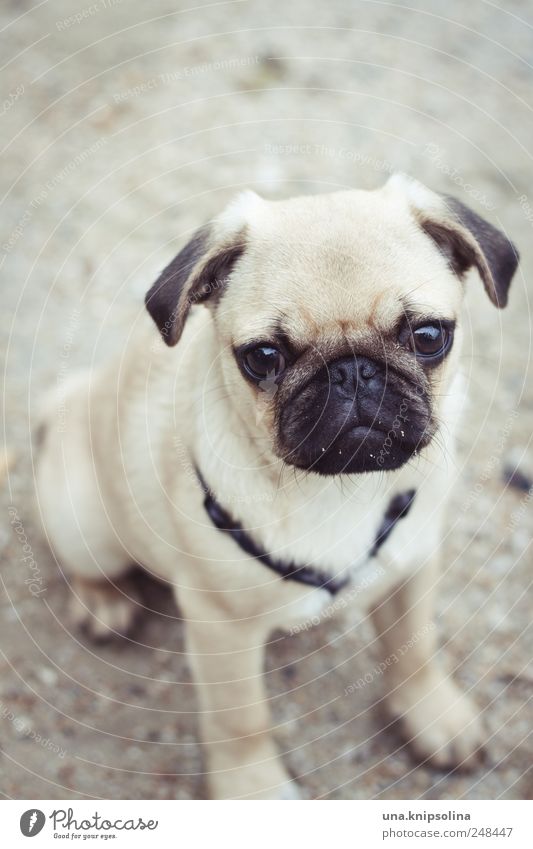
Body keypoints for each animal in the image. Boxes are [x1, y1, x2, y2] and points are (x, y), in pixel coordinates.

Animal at [35, 176, 516, 800]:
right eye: (263, 357)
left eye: (429, 336)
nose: (352, 371)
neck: (336, 489)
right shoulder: (221, 629)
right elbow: (240, 720)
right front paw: (254, 789)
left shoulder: (413, 567)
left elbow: (414, 649)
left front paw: (433, 713)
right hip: (83, 519)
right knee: (89, 562)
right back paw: (104, 602)